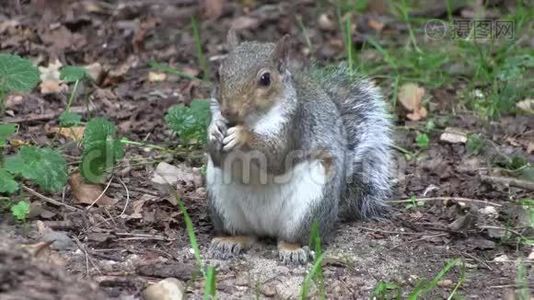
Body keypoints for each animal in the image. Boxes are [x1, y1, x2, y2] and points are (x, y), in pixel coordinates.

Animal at [205, 31, 394, 264]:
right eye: (218, 74)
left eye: (265, 79)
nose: (228, 111)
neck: (252, 119)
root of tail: (266, 228)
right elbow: (217, 158)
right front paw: (214, 130)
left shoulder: (295, 125)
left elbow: (276, 157)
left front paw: (242, 135)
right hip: (222, 203)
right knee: (247, 234)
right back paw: (231, 240)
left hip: (310, 206)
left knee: (294, 237)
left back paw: (292, 249)